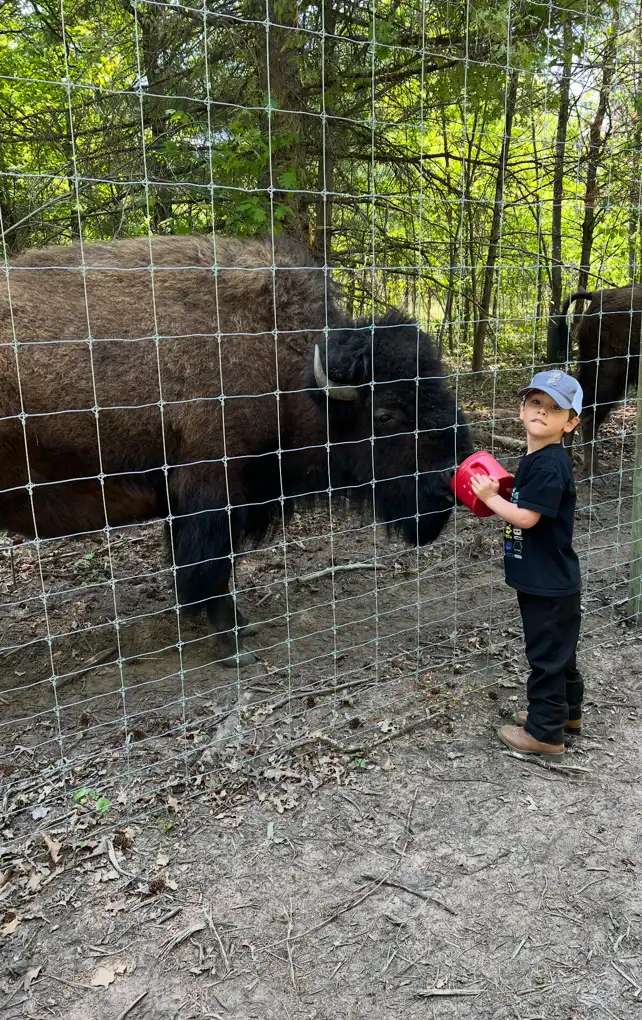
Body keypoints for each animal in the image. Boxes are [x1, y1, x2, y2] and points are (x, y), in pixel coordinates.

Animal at [0, 235, 472, 665]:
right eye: (386, 414)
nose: (448, 481)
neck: (288, 370)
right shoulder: (212, 491)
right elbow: (211, 567)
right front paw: (232, 643)